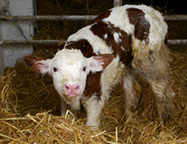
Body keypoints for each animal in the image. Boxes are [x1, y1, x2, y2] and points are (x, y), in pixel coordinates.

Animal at [24, 4, 174, 128]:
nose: (72, 86)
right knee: (132, 92)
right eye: (55, 69)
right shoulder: (65, 102)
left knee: (162, 93)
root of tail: (152, 11)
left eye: (84, 68)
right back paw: (129, 123)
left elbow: (91, 126)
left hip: (152, 60)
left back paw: (162, 128)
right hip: (126, 66)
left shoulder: (96, 98)